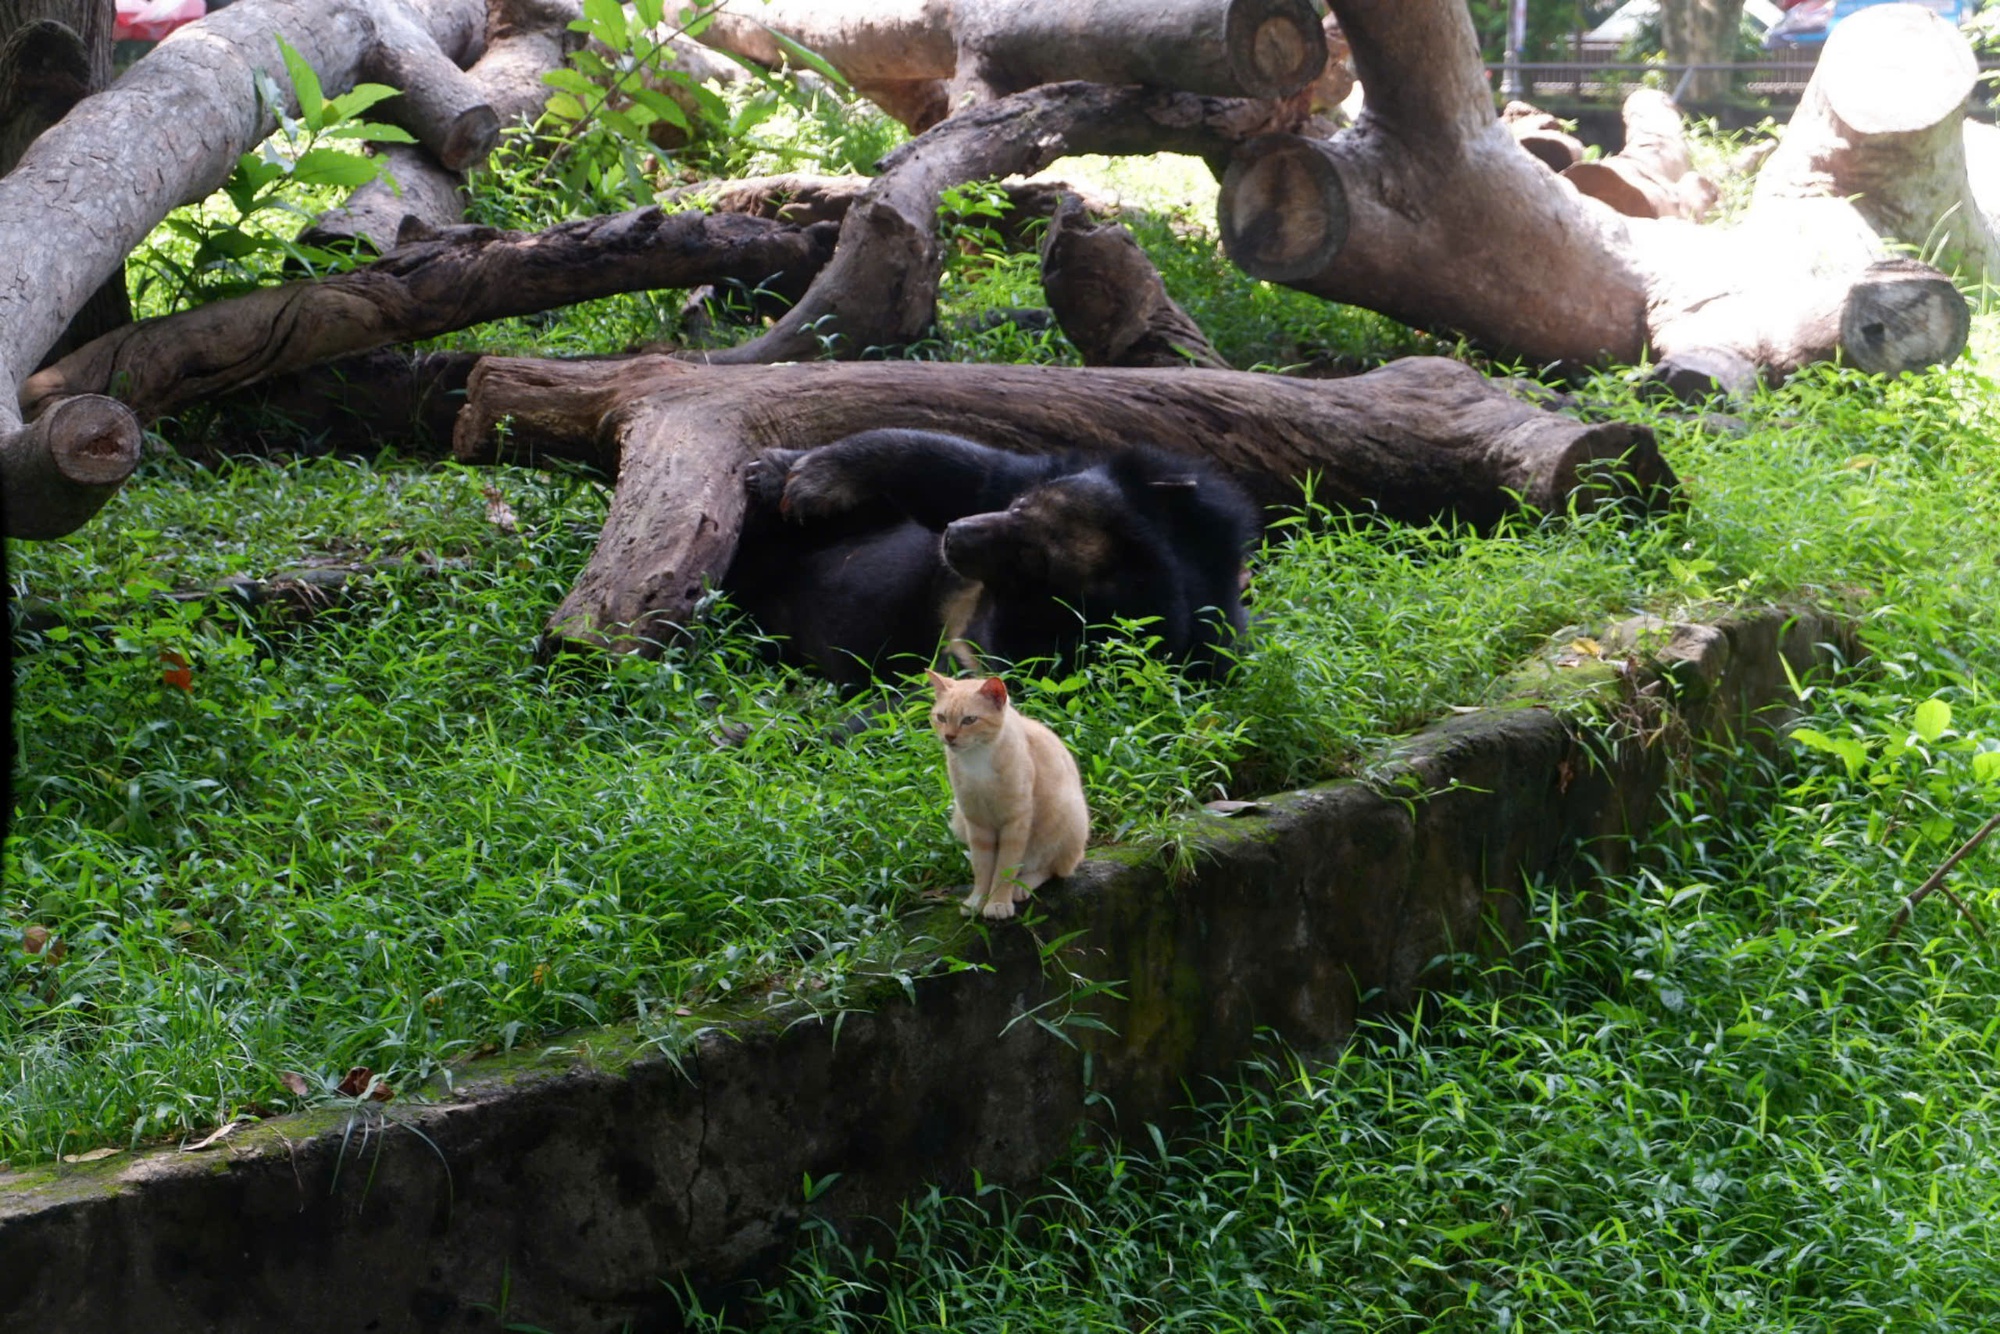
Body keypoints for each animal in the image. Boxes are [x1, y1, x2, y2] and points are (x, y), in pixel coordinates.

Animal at [924, 680, 1088, 920]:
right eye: (942, 717)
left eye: (969, 719)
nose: (949, 737)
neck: (978, 758)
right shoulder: (976, 822)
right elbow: (982, 867)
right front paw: (978, 900)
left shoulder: (1015, 822)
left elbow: (1004, 867)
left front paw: (998, 902)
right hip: (959, 819)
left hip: (1067, 814)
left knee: (1052, 868)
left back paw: (1022, 886)